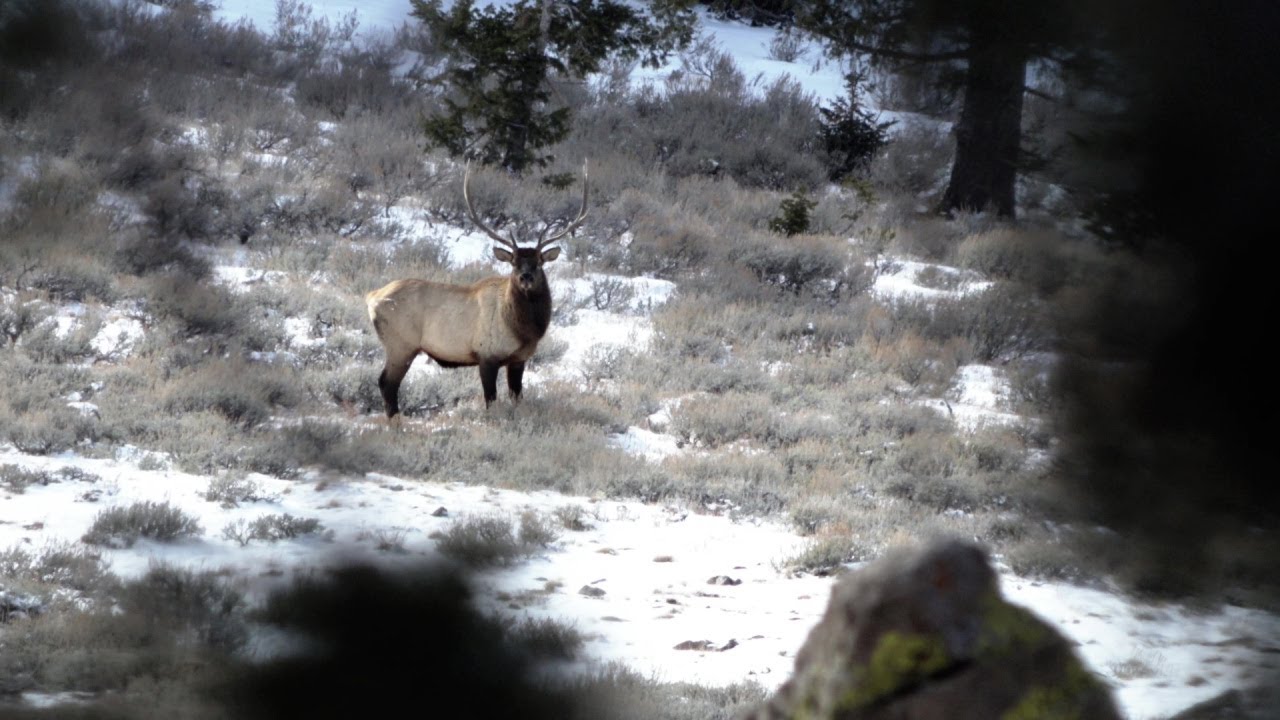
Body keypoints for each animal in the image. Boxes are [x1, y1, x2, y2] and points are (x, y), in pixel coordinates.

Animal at [364, 161, 588, 419]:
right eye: (514, 263)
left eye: (539, 262)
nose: (526, 277)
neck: (523, 329)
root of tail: (371, 297)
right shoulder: (486, 356)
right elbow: (491, 400)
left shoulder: (518, 359)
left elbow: (517, 397)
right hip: (401, 345)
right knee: (387, 383)